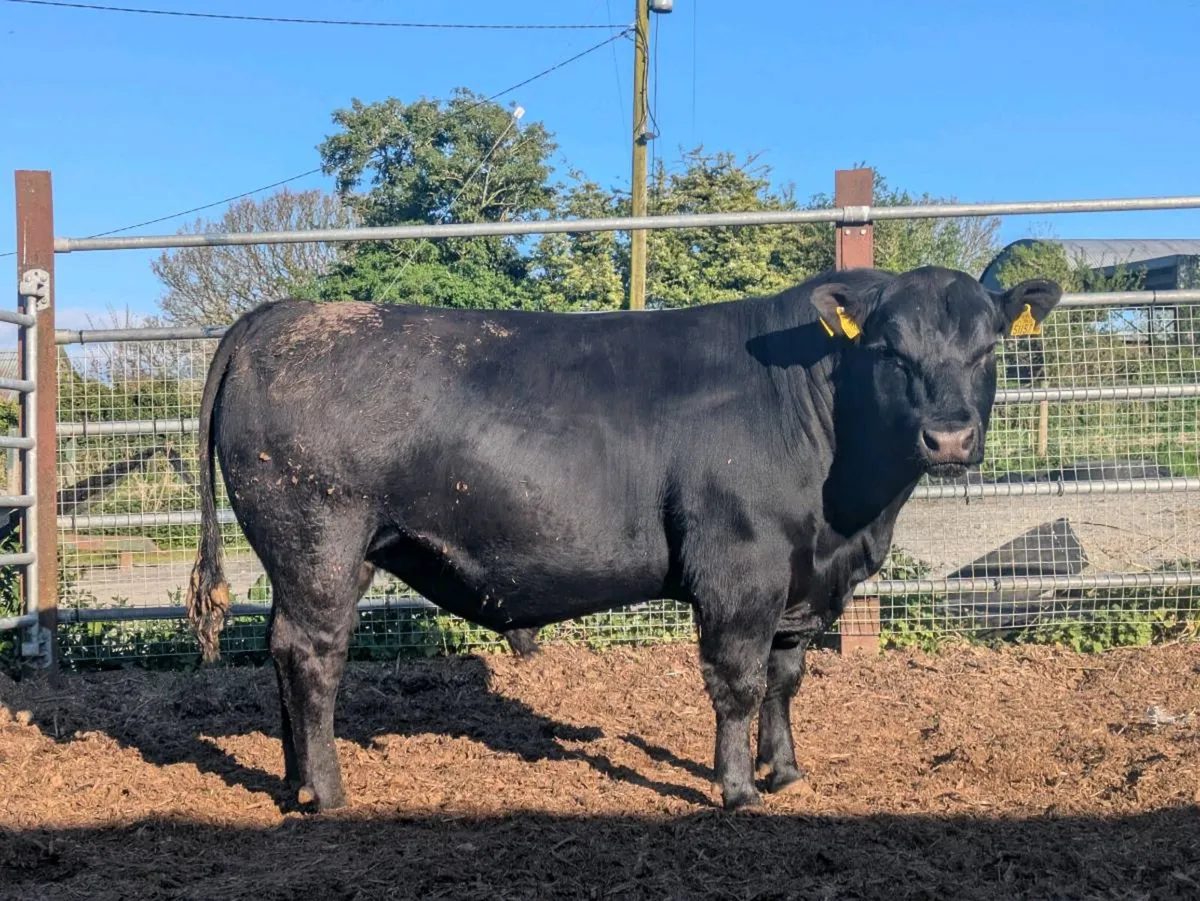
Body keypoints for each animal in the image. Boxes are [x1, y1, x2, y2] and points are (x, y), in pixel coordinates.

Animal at [185, 265, 1061, 812]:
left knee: (281, 650)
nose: (949, 436)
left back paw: (295, 783)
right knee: (314, 655)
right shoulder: (740, 566)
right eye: (888, 348)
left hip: (302, 556)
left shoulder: (796, 579)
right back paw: (331, 792)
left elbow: (785, 679)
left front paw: (786, 771)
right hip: (322, 540)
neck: (847, 518)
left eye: (988, 349)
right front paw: (737, 788)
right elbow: (738, 681)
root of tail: (284, 313)